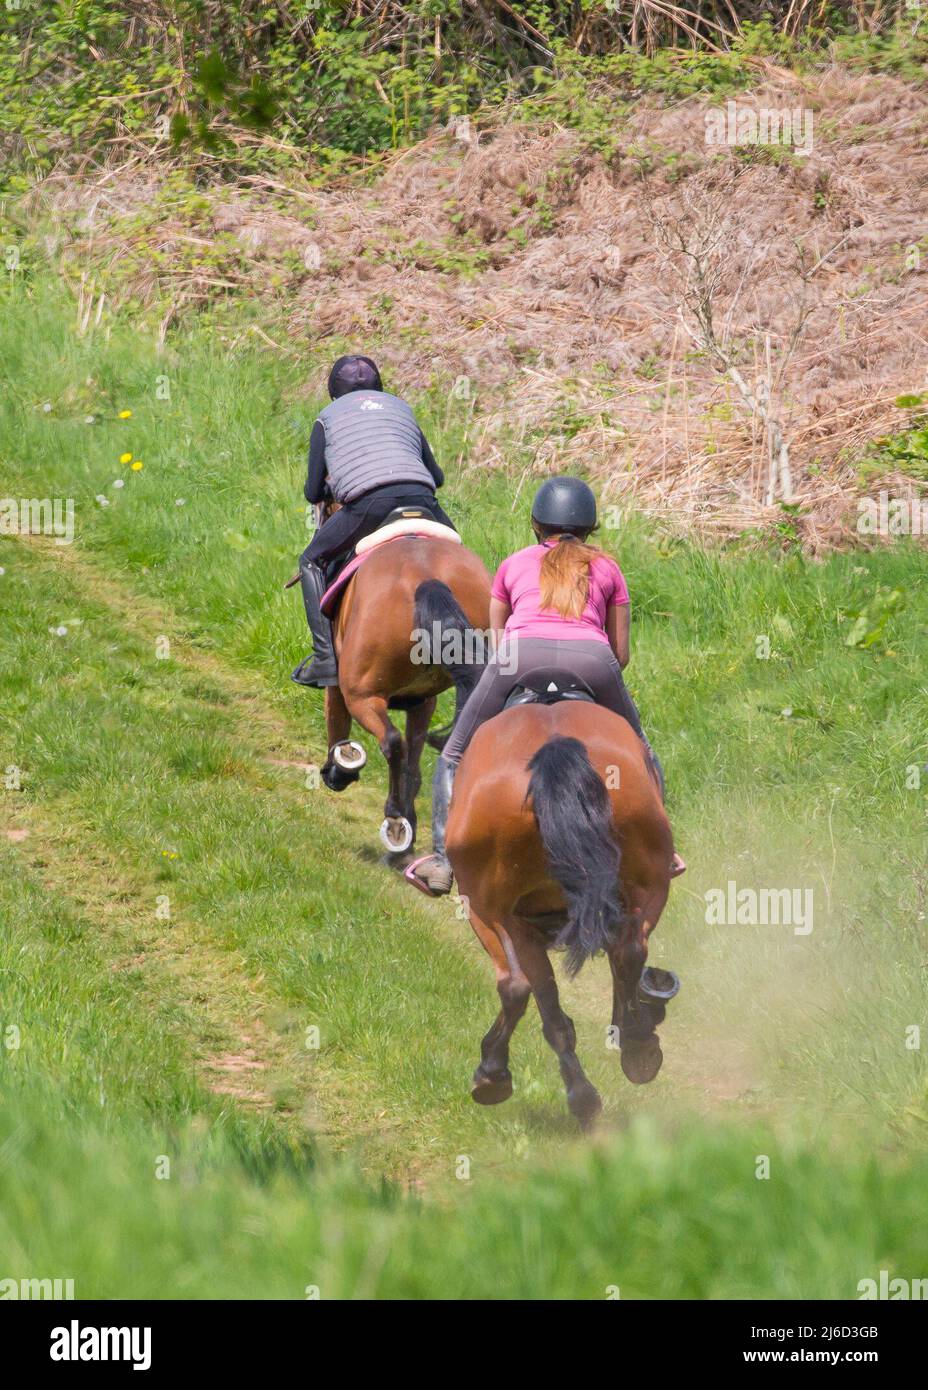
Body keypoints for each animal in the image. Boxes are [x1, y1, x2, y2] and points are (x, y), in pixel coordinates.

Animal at [320, 531, 491, 854]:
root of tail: (426, 576)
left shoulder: (340, 681)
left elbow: (337, 720)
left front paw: (340, 768)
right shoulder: (423, 701)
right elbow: (415, 757)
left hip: (361, 695)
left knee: (391, 741)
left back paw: (395, 820)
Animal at [445, 688, 680, 1128]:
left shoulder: (509, 921)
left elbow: (541, 1001)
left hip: (489, 912)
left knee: (516, 986)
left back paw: (497, 1075)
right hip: (648, 884)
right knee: (629, 951)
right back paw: (637, 1048)